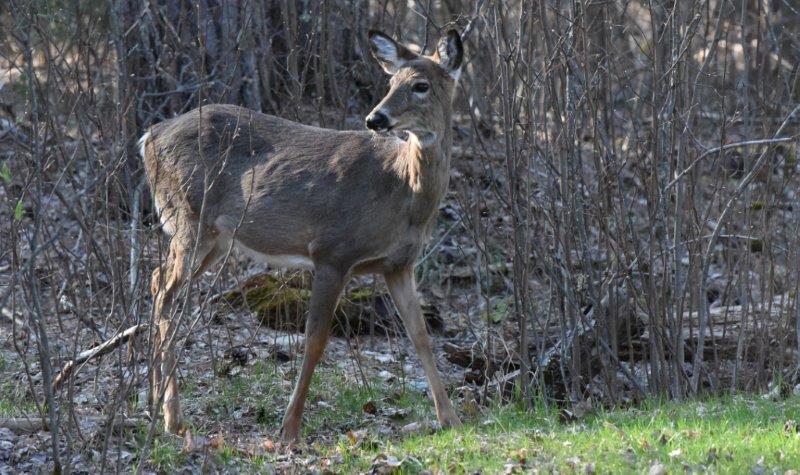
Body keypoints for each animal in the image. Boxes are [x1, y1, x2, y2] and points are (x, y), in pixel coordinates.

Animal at [139, 29, 465, 442]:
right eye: (391, 83)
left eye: (421, 85)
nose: (375, 118)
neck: (402, 188)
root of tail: (149, 136)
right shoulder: (332, 251)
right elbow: (315, 340)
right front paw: (290, 427)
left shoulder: (398, 265)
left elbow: (420, 334)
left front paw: (450, 418)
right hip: (189, 219)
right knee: (166, 292)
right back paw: (173, 417)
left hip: (215, 237)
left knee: (156, 281)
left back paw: (154, 403)